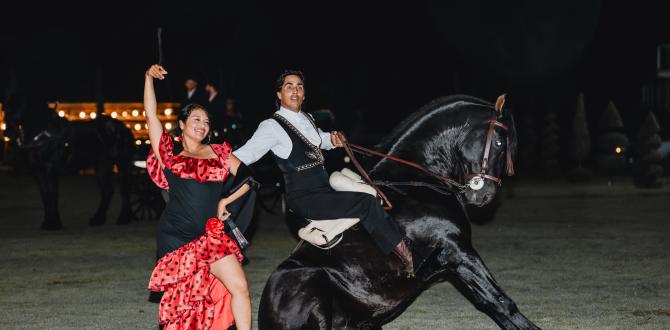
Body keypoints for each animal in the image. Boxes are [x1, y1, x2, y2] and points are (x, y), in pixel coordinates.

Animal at [1, 90, 136, 229]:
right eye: (6, 108)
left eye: (20, 107)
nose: (7, 133)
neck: (44, 136)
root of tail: (123, 127)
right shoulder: (39, 172)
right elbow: (45, 195)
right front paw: (47, 222)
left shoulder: (52, 169)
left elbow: (52, 194)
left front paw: (54, 224)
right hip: (102, 166)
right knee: (108, 191)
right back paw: (98, 219)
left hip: (122, 163)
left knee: (125, 189)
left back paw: (123, 218)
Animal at [260, 94, 544, 330]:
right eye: (499, 142)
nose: (484, 196)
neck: (415, 181)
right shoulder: (457, 250)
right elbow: (498, 301)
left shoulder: (453, 259)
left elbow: (489, 301)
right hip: (312, 283)